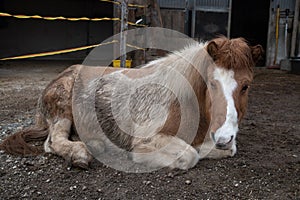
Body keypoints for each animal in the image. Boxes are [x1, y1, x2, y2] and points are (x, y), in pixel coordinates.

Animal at [0, 36, 262, 170]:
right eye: (212, 83)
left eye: (246, 85)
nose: (224, 136)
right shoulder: (147, 139)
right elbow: (189, 155)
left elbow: (225, 149)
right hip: (63, 110)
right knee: (52, 141)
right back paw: (81, 153)